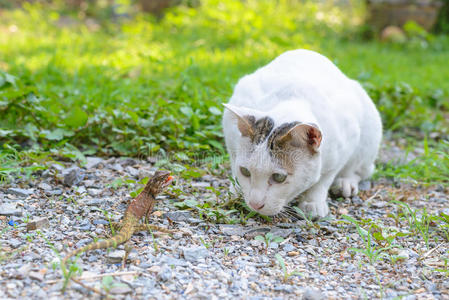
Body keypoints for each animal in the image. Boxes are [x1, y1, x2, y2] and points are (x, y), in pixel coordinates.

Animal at [222, 49, 380, 218]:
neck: (291, 100)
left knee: (361, 170)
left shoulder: (345, 144)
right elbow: (234, 166)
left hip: (369, 134)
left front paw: (312, 202)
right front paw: (236, 190)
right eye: (245, 171)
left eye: (279, 177)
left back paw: (345, 183)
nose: (255, 204)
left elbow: (323, 180)